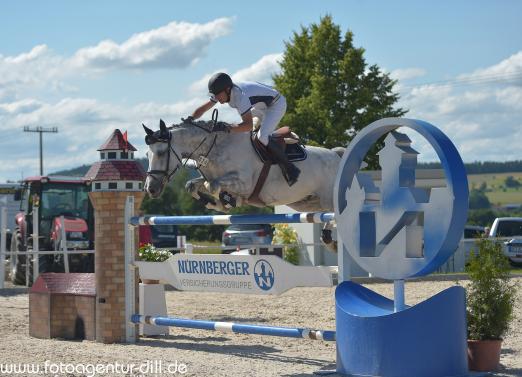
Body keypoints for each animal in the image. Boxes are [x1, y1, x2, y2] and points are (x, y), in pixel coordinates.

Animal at [142, 119, 344, 213]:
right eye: (146, 155)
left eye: (161, 152)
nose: (150, 189)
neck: (216, 148)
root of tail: (336, 155)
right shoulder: (209, 177)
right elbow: (192, 185)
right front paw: (215, 204)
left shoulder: (244, 183)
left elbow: (212, 185)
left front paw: (227, 202)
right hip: (306, 204)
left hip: (328, 201)